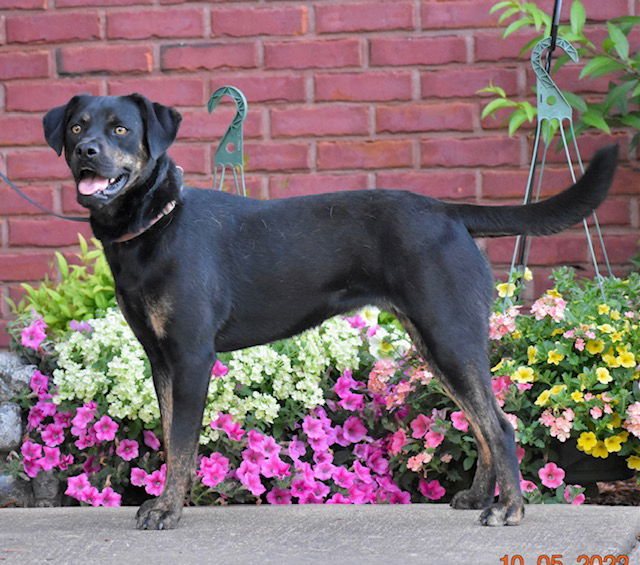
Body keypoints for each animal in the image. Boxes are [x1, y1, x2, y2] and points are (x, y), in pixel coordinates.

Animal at [42, 93, 616, 528]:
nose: (87, 151)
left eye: (120, 129)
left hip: (449, 335)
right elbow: (166, 437)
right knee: (479, 422)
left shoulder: (190, 356)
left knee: (500, 424)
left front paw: (166, 510)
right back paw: (480, 497)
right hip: (435, 341)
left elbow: (179, 442)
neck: (155, 226)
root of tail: (450, 212)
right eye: (77, 126)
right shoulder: (159, 358)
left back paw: (509, 511)